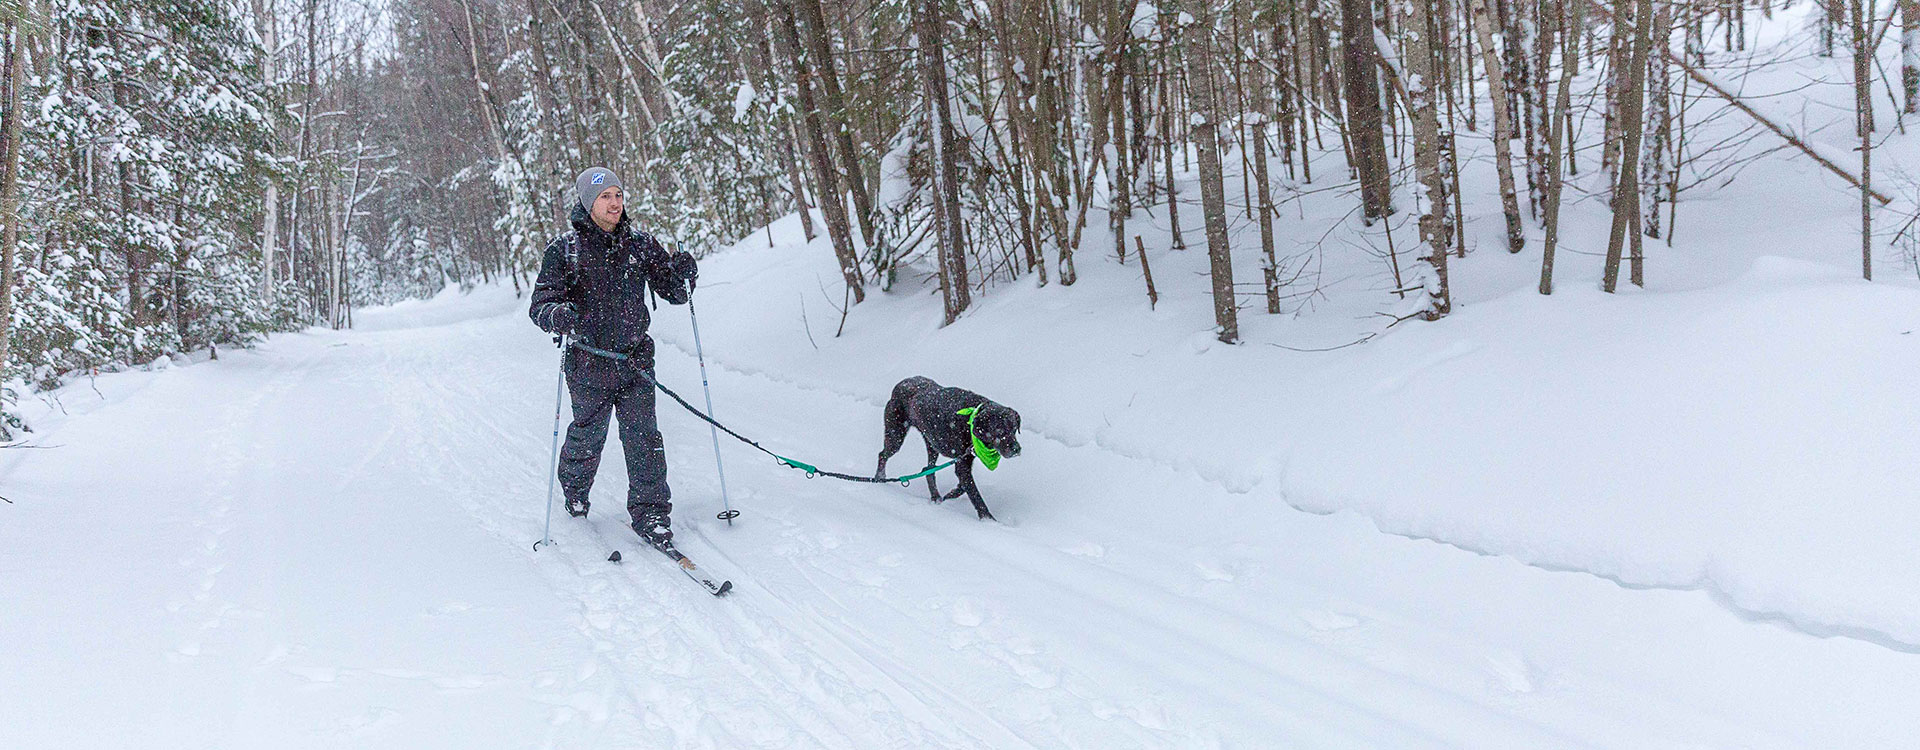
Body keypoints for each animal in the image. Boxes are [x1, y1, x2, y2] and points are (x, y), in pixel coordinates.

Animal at [875, 379, 1021, 521]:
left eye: (1014, 429)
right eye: (999, 431)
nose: (1016, 449)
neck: (970, 420)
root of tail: (900, 384)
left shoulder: (965, 460)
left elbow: (963, 486)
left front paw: (951, 493)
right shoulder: (962, 463)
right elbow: (975, 494)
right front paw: (988, 519)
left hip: (931, 442)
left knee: (928, 469)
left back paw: (936, 497)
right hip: (895, 436)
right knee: (883, 455)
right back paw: (879, 478)